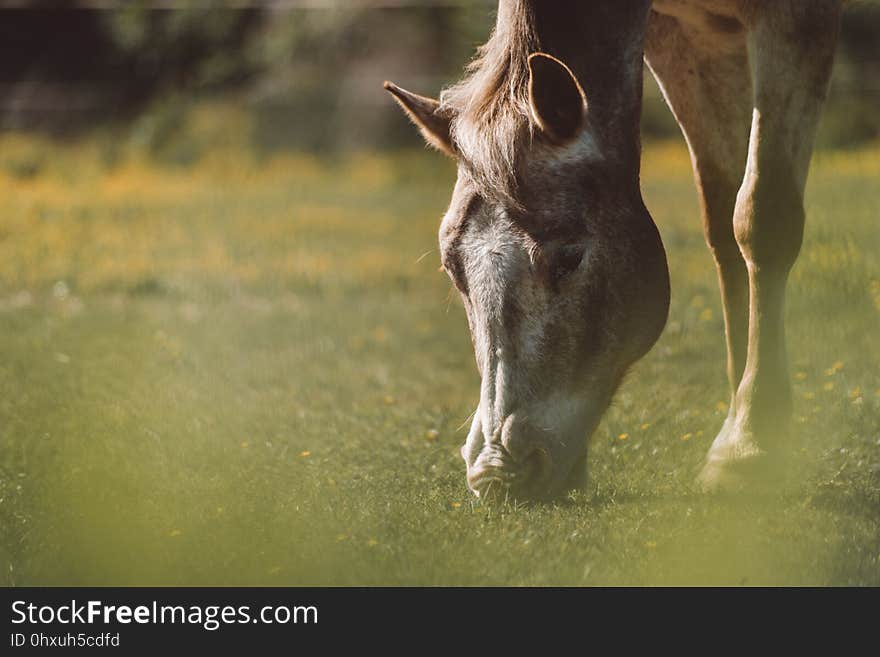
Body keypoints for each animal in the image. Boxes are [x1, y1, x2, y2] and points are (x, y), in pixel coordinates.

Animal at [384, 2, 844, 500]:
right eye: (452, 270)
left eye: (569, 258)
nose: (496, 473)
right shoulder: (686, 38)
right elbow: (725, 221)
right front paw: (748, 420)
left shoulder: (794, 20)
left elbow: (760, 219)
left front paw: (749, 444)